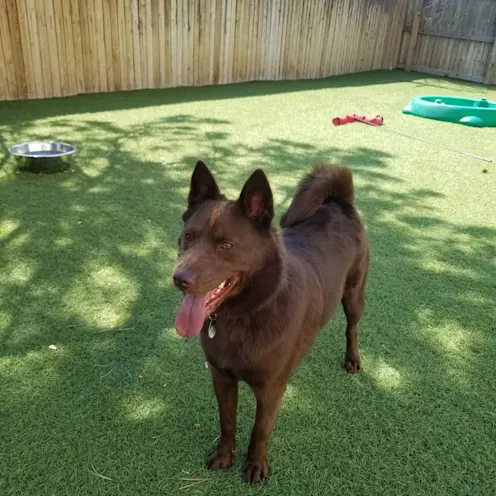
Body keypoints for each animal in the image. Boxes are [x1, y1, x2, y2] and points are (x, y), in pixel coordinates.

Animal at [173, 161, 368, 482]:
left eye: (226, 245)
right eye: (189, 235)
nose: (179, 278)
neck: (246, 313)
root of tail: (338, 203)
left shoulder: (270, 389)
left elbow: (260, 429)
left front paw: (256, 465)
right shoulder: (221, 377)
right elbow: (227, 421)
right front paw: (224, 455)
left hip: (354, 294)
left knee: (351, 327)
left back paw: (352, 359)